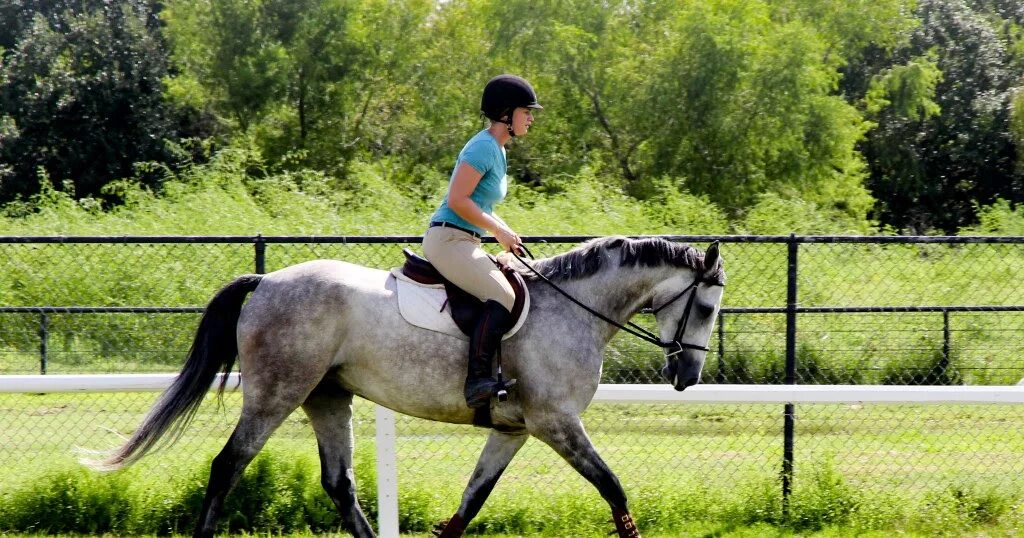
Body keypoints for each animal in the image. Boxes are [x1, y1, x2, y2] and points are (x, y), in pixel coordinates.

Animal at [90, 234, 729, 536]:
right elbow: (613, 488)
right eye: (705, 307)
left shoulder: (515, 430)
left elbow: (471, 502)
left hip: (328, 396)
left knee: (339, 484)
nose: (687, 377)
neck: (574, 308)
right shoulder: (556, 423)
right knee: (228, 466)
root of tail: (267, 280)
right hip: (277, 394)